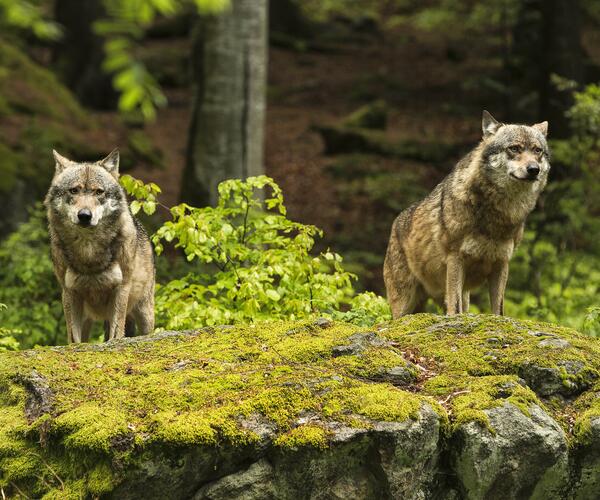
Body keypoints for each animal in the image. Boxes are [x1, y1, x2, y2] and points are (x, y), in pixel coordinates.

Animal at [44, 150, 155, 342]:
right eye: (74, 190)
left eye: (98, 192)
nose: (84, 215)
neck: (88, 250)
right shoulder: (69, 292)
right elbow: (74, 339)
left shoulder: (121, 289)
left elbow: (116, 334)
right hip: (87, 318)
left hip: (144, 314)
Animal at [384, 112, 548, 318]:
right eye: (514, 148)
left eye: (537, 150)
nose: (534, 169)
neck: (497, 214)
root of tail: (395, 224)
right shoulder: (455, 259)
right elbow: (455, 309)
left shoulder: (502, 263)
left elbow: (498, 310)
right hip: (404, 306)